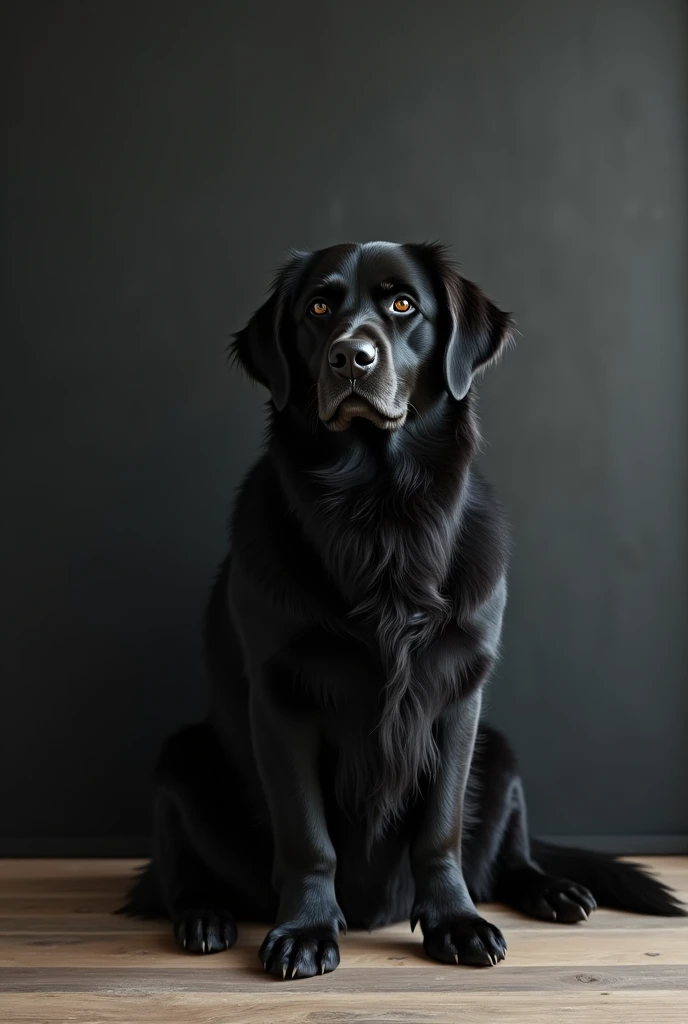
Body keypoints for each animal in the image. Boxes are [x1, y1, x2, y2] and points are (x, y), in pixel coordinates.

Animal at [122, 237, 683, 974]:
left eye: (403, 305)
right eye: (318, 307)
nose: (350, 357)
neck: (380, 513)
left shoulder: (457, 692)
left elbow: (440, 830)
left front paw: (455, 922)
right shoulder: (280, 697)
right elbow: (306, 835)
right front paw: (305, 929)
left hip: (501, 750)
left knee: (508, 859)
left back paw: (554, 888)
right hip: (182, 759)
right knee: (171, 877)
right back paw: (204, 917)